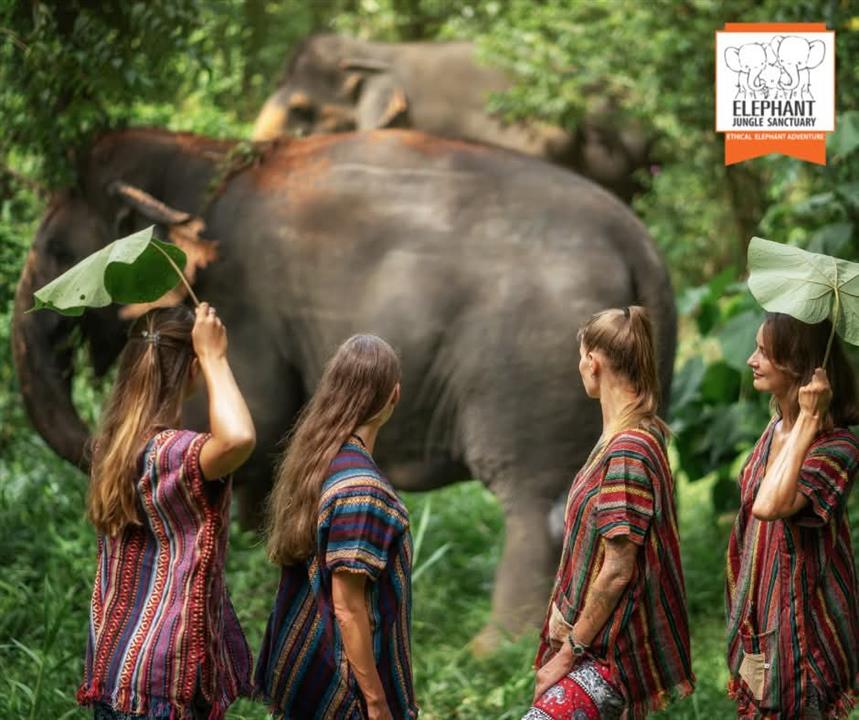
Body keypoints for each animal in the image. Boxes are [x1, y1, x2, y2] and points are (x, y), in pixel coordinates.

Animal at [13, 128, 676, 652]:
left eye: (59, 250)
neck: (208, 159)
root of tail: (641, 242)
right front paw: (260, 554)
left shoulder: (243, 304)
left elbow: (249, 416)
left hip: (530, 364)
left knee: (538, 506)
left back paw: (493, 649)